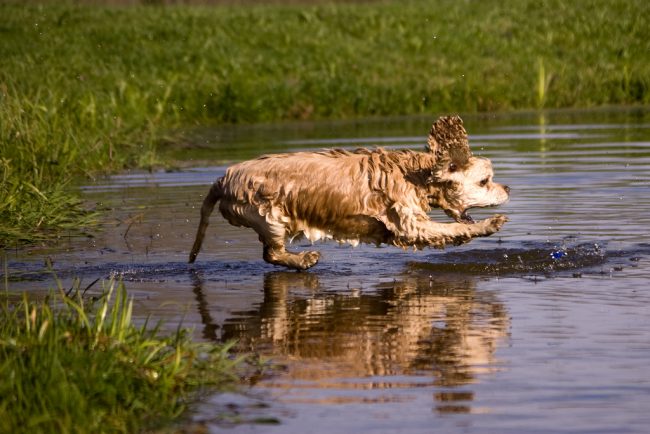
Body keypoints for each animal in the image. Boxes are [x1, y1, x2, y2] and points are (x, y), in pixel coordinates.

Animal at [187, 117, 506, 270]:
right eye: (485, 181)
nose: (508, 188)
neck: (414, 172)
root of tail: (223, 179)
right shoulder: (410, 224)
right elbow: (452, 229)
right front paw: (488, 225)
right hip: (269, 217)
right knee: (272, 254)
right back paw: (304, 260)